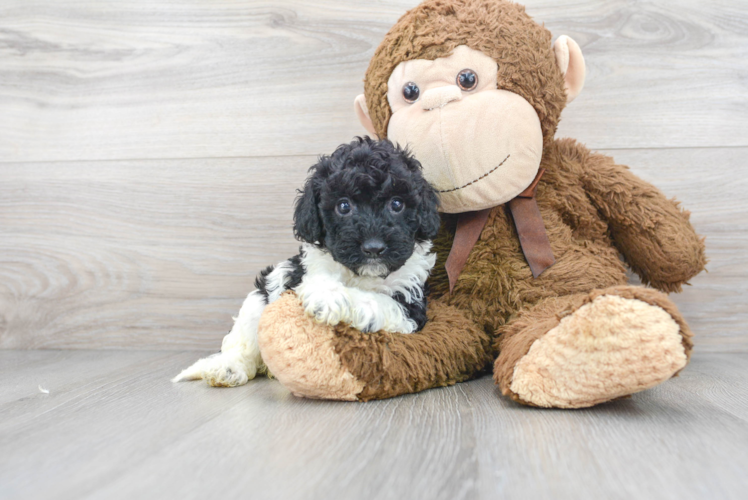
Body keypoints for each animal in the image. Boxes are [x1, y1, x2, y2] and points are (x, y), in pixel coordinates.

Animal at [172, 139, 442, 388]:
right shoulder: (305, 269)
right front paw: (327, 294)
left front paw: (335, 299)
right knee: (243, 340)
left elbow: (377, 300)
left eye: (397, 203)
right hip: (258, 299)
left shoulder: (411, 304)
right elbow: (319, 281)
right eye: (343, 206)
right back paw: (227, 368)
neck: (362, 275)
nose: (373, 247)